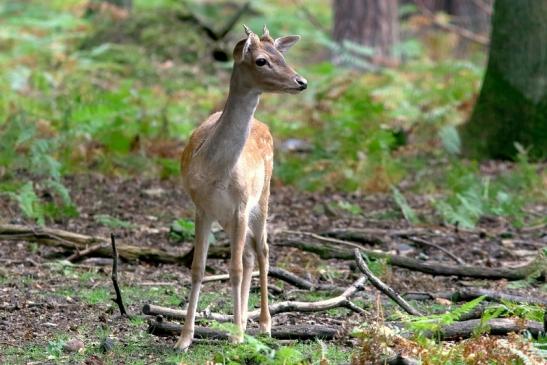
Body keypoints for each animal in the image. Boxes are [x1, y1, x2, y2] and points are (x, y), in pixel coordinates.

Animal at [174, 23, 306, 350]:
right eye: (261, 60)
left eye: (282, 56)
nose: (302, 81)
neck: (217, 170)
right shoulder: (202, 207)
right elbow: (197, 269)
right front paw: (184, 338)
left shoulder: (241, 205)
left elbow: (233, 269)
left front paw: (234, 337)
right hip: (232, 216)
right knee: (247, 255)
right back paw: (244, 321)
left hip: (263, 198)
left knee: (262, 251)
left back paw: (263, 324)